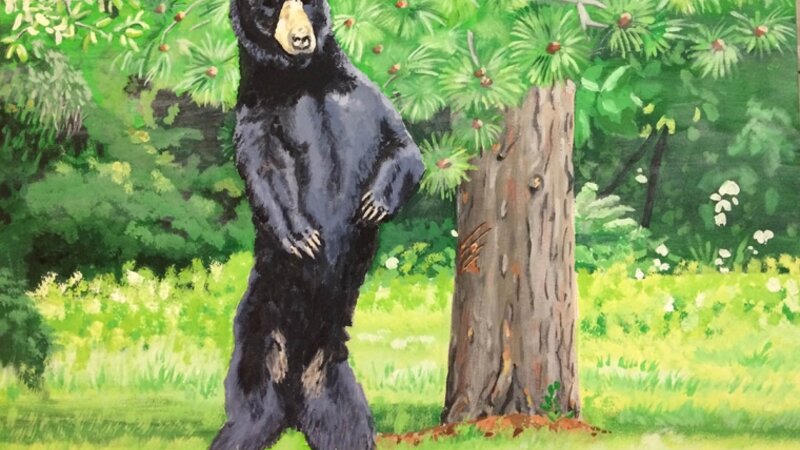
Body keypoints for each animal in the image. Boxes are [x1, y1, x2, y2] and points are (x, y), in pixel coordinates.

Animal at [210, 1, 425, 449]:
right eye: (271, 8)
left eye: (304, 4)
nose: (301, 39)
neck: (304, 77)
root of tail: (293, 404)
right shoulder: (258, 112)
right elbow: (263, 167)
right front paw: (302, 237)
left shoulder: (365, 96)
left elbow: (405, 148)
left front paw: (374, 204)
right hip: (257, 340)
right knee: (247, 416)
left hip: (333, 379)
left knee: (346, 423)